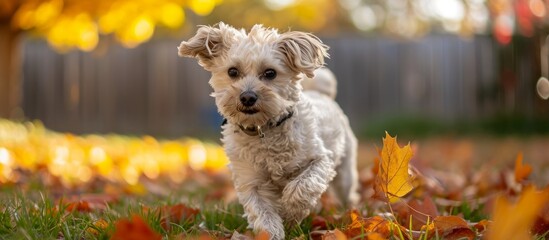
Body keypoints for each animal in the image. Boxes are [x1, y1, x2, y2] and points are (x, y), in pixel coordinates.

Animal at [178, 23, 360, 240]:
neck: (264, 129)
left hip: (345, 173)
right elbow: (262, 212)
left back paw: (350, 213)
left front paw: (290, 212)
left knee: (348, 193)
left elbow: (302, 187)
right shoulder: (250, 180)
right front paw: (273, 231)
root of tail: (321, 94)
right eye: (232, 71)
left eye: (270, 73)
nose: (247, 97)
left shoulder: (320, 160)